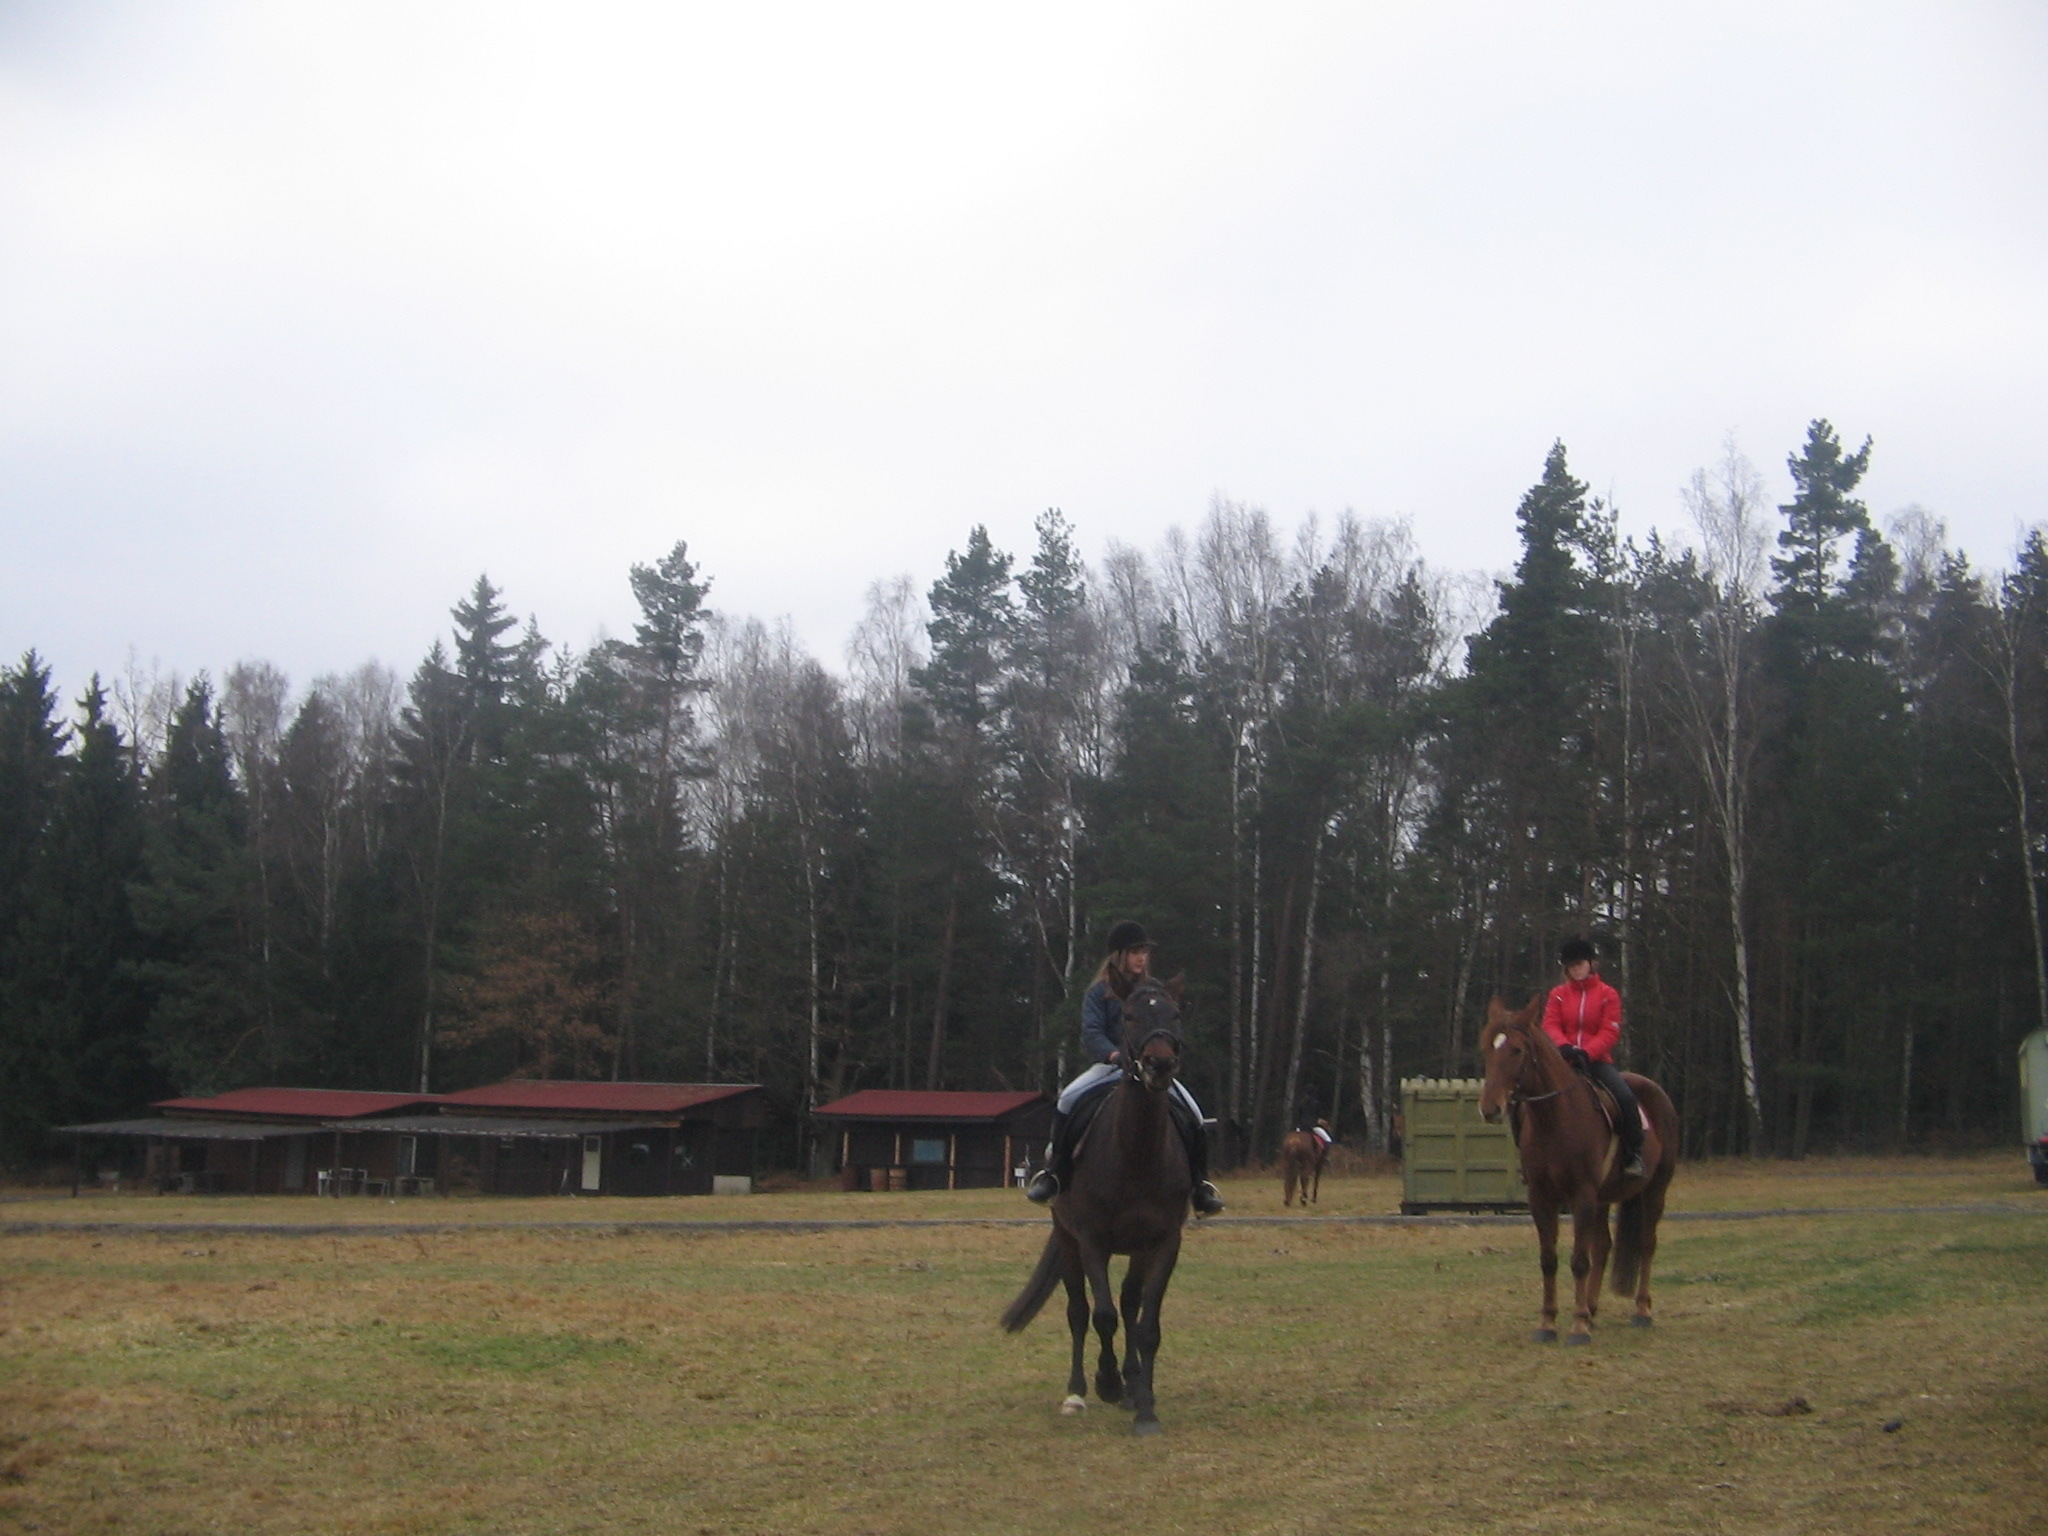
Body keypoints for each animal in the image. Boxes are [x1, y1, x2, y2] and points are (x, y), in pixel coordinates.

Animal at [999, 974, 1196, 1441]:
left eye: (1175, 1014)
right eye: (1130, 1016)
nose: (1159, 1065)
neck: (1137, 1153)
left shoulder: (1164, 1243)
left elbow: (1146, 1325)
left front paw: (1145, 1407)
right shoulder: (1090, 1240)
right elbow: (1102, 1316)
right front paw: (1107, 1382)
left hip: (1136, 1250)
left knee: (1129, 1303)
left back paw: (1133, 1385)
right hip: (1068, 1240)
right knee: (1079, 1312)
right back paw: (1079, 1393)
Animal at [1490, 999, 1679, 1343]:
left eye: (1518, 1051)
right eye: (1488, 1047)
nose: (1490, 1108)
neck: (1555, 1119)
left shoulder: (1582, 1195)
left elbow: (1579, 1261)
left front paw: (1577, 1327)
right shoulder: (1541, 1198)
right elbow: (1549, 1259)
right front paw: (1548, 1323)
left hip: (1655, 1189)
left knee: (1646, 1243)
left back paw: (1641, 1310)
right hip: (1603, 1197)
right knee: (1603, 1245)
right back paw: (1591, 1309)